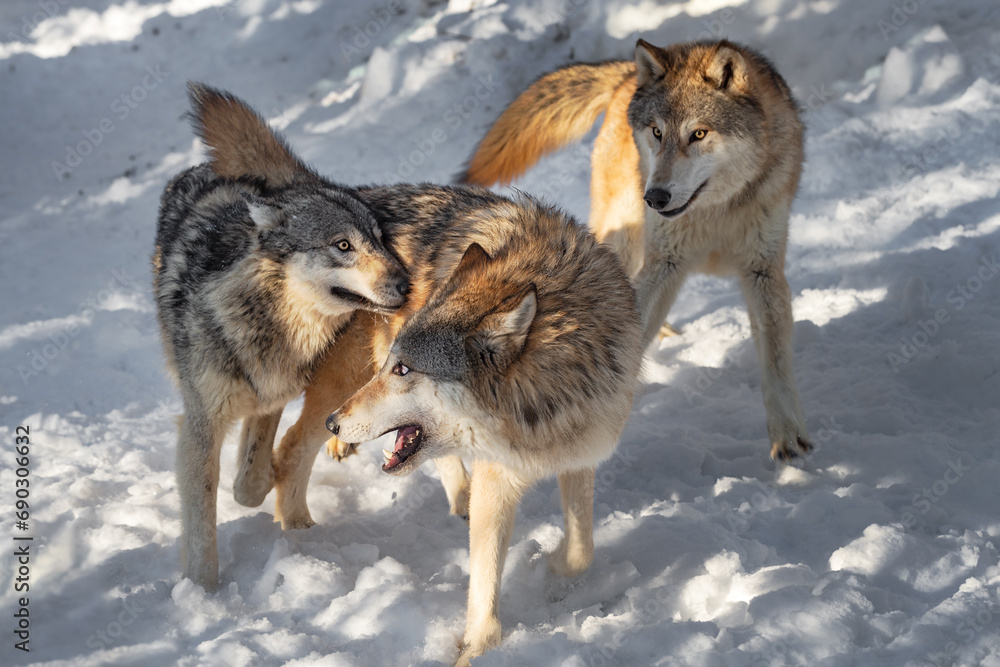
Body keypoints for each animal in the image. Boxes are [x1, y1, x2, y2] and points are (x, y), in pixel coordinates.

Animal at [154, 83, 409, 589]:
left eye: (379, 240)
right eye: (343, 245)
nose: (406, 284)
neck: (273, 326)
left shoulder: (270, 397)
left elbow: (251, 483)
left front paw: (266, 474)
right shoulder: (201, 424)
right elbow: (202, 520)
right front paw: (203, 591)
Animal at [461, 39, 813, 460]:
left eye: (698, 133)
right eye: (658, 132)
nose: (656, 197)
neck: (714, 211)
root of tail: (627, 73)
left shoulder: (763, 270)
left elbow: (776, 361)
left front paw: (788, 437)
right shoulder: (666, 261)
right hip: (623, 237)